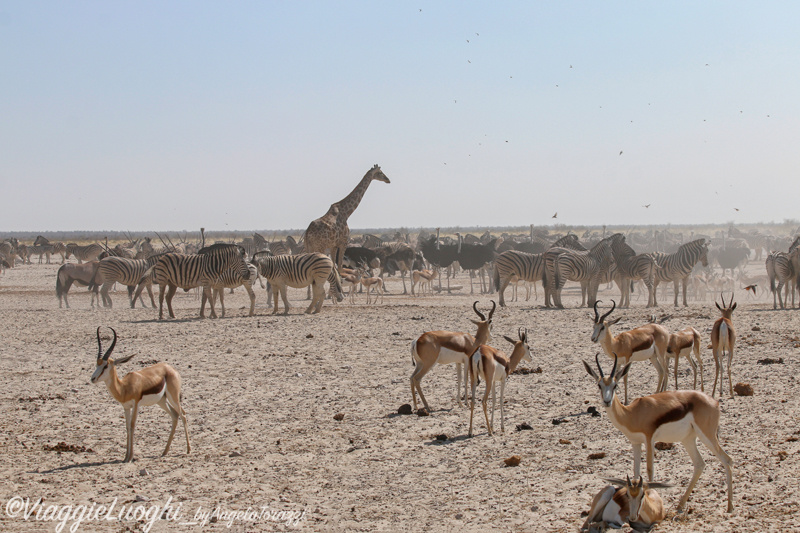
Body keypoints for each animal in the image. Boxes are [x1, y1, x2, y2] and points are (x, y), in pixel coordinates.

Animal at [90, 326, 191, 460]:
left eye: (106, 366)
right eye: (97, 364)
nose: (92, 378)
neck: (124, 387)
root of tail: (171, 368)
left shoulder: (136, 404)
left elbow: (133, 425)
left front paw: (130, 457)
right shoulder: (126, 407)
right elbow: (127, 427)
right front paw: (125, 457)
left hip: (173, 397)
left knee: (183, 414)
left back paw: (188, 449)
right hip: (161, 400)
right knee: (175, 415)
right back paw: (164, 451)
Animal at [584, 354, 736, 512]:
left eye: (615, 385)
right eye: (599, 385)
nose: (607, 401)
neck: (631, 414)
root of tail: (714, 402)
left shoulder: (649, 440)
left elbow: (650, 470)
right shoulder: (635, 443)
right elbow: (635, 472)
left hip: (707, 435)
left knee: (727, 460)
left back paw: (730, 507)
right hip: (688, 439)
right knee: (700, 464)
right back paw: (680, 505)